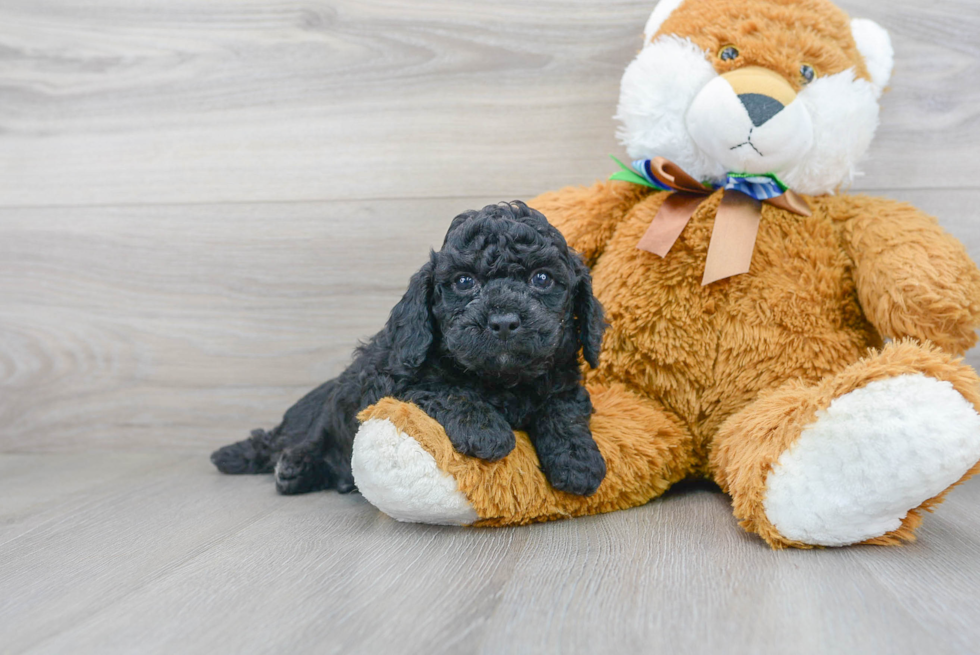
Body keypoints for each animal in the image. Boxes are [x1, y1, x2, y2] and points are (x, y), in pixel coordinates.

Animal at [212, 202, 604, 494]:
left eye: (542, 278)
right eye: (464, 281)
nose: (504, 321)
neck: (501, 378)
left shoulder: (563, 379)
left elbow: (563, 410)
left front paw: (578, 461)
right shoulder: (390, 379)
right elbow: (443, 389)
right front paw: (485, 430)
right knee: (305, 440)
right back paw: (293, 467)